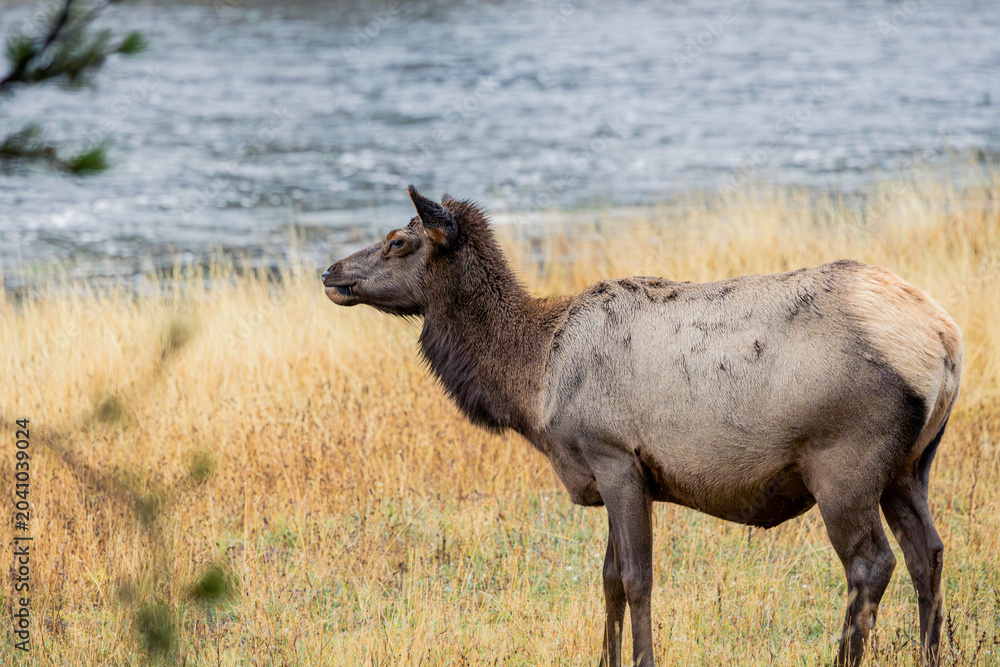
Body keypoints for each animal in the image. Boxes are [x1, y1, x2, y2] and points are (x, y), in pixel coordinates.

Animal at [322, 186, 962, 667]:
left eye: (398, 241)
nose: (330, 271)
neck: (535, 381)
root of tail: (947, 342)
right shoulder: (619, 473)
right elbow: (608, 578)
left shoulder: (614, 457)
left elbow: (636, 579)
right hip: (911, 466)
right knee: (927, 552)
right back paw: (933, 654)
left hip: (843, 464)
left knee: (870, 565)